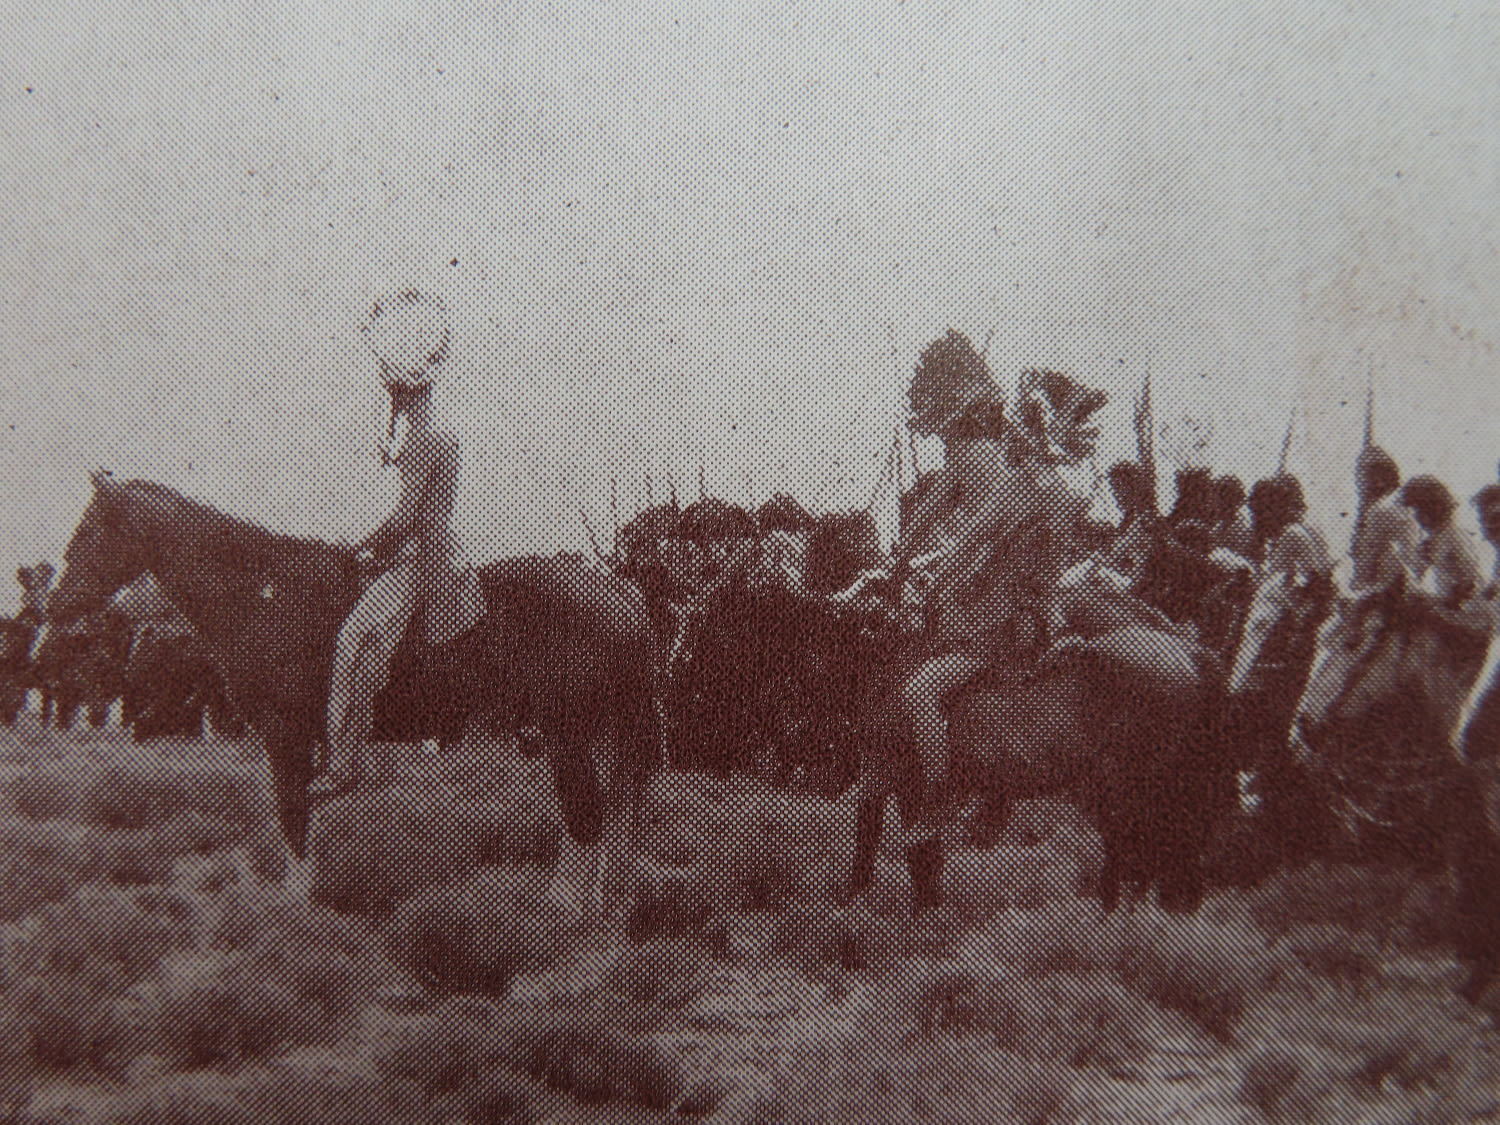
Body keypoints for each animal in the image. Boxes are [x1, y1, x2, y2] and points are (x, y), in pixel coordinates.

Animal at [45, 471, 663, 913]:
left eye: (91, 530)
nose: (56, 605)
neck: (265, 594)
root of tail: (621, 590)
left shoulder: (285, 735)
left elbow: (293, 813)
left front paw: (297, 904)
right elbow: (301, 815)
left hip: (569, 731)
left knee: (586, 816)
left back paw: (564, 911)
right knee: (607, 817)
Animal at [846, 563, 1334, 918]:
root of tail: (1187, 653)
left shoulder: (898, 773)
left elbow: (904, 846)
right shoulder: (889, 775)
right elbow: (887, 844)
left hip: (1127, 791)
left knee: (1137, 857)